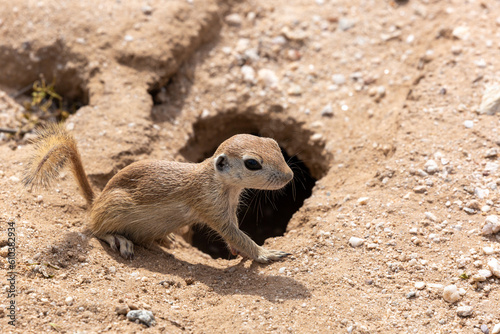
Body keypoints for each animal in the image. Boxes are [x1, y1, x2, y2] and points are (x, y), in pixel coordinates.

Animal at [23, 124, 294, 262]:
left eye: (274, 144)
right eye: (252, 163)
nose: (290, 176)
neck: (218, 182)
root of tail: (96, 199)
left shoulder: (229, 208)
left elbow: (235, 233)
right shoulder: (213, 209)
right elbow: (237, 235)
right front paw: (267, 253)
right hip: (113, 208)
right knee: (93, 228)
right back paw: (120, 240)